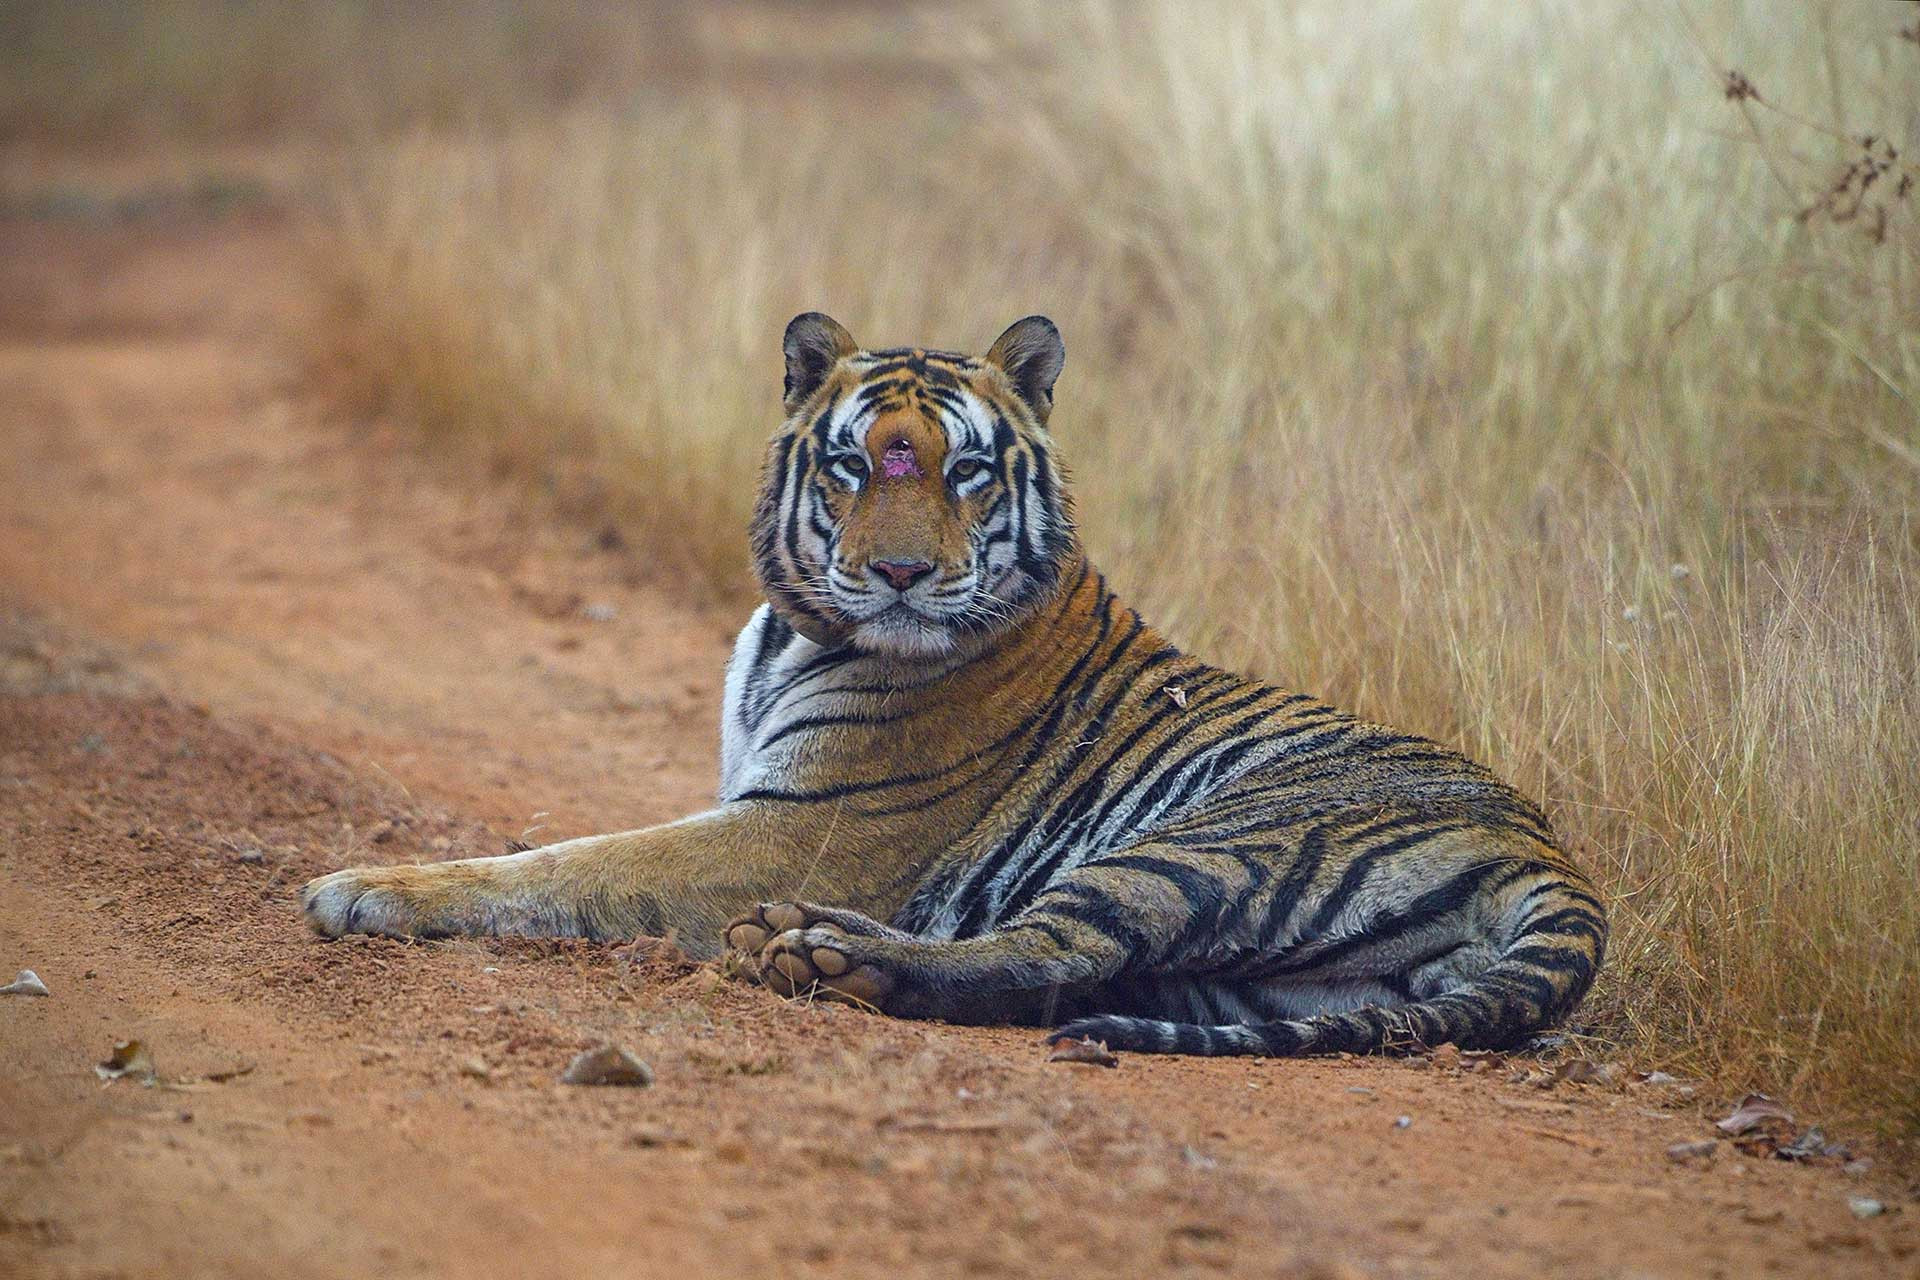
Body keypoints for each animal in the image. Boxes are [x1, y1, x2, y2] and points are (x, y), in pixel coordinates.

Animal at [301, 312, 1606, 1056]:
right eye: (851, 463)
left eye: (966, 471)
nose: (901, 572)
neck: (794, 629)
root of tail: (1556, 856)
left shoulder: (796, 832)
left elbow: (570, 864)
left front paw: (361, 887)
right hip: (1263, 983)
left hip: (1206, 844)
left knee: (1050, 949)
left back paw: (822, 952)